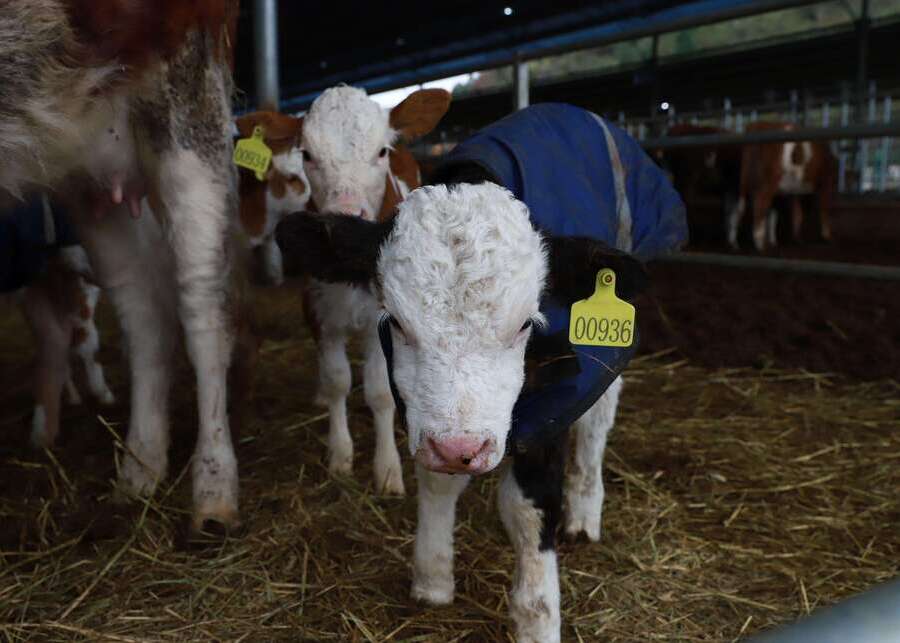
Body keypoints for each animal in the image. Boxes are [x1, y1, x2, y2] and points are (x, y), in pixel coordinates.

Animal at [0, 0, 242, 532]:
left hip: (186, 105)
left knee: (204, 306)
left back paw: (213, 495)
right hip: (88, 174)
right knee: (144, 310)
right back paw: (138, 474)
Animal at [297, 86, 450, 494]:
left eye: (381, 151)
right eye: (306, 154)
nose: (345, 215)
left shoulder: (383, 320)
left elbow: (380, 392)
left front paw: (387, 469)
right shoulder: (317, 311)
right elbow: (337, 380)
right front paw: (340, 455)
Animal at [728, 122, 836, 251]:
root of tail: (756, 125)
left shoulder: (795, 190)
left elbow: (796, 213)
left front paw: (796, 238)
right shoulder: (825, 182)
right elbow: (824, 208)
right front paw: (826, 236)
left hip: (744, 182)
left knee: (738, 210)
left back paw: (734, 243)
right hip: (767, 183)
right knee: (760, 207)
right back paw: (761, 245)